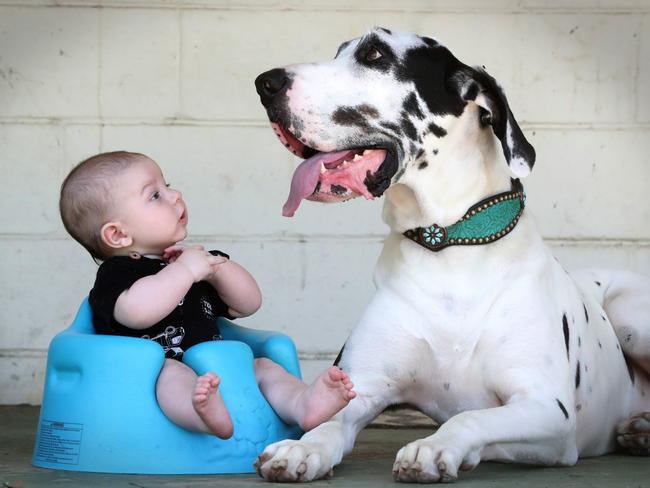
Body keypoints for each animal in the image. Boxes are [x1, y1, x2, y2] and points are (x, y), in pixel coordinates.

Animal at [251, 28, 644, 482]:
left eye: (374, 54)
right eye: (339, 52)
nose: (265, 82)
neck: (450, 245)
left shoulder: (548, 409)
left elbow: (470, 417)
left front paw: (433, 446)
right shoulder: (359, 385)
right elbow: (326, 421)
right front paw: (301, 448)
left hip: (631, 314)